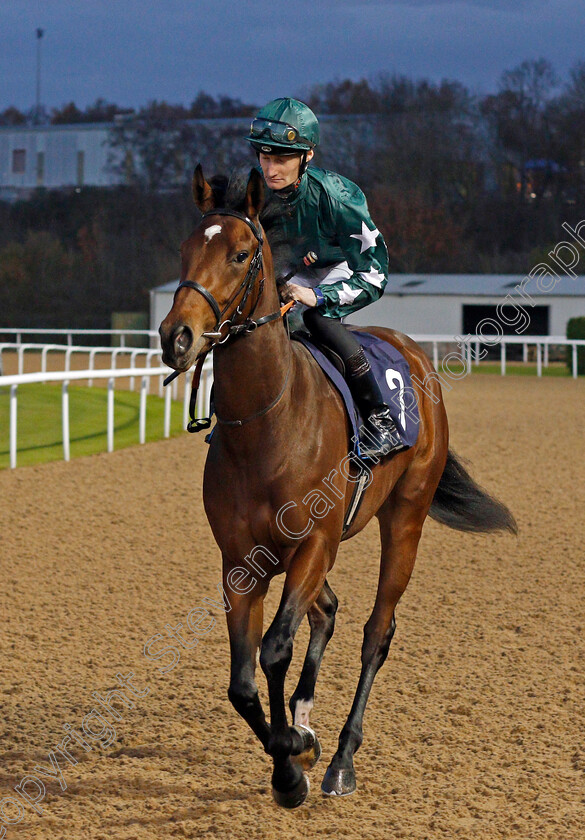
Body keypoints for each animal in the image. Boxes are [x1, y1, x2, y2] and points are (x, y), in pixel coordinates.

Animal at [157, 166, 512, 808]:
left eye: (241, 253)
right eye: (185, 249)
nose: (177, 337)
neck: (268, 426)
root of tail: (413, 354)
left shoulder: (313, 544)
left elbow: (274, 648)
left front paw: (292, 765)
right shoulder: (239, 562)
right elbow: (242, 682)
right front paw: (292, 745)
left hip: (405, 518)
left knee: (377, 631)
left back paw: (342, 757)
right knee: (329, 610)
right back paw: (305, 718)